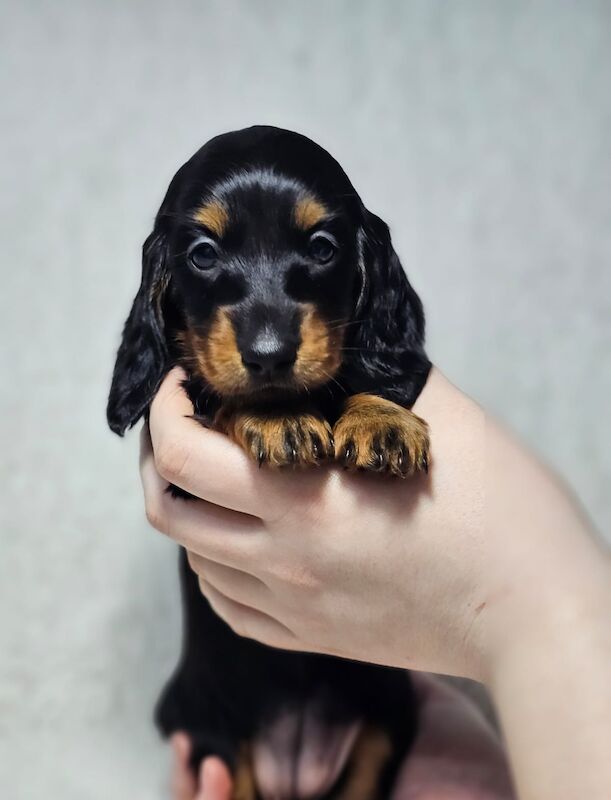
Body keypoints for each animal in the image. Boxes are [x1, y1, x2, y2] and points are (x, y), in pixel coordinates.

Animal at [107, 128, 432, 800]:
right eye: (203, 254)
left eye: (322, 247)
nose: (269, 356)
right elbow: (225, 396)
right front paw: (278, 416)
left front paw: (381, 418)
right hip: (218, 732)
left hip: (387, 718)